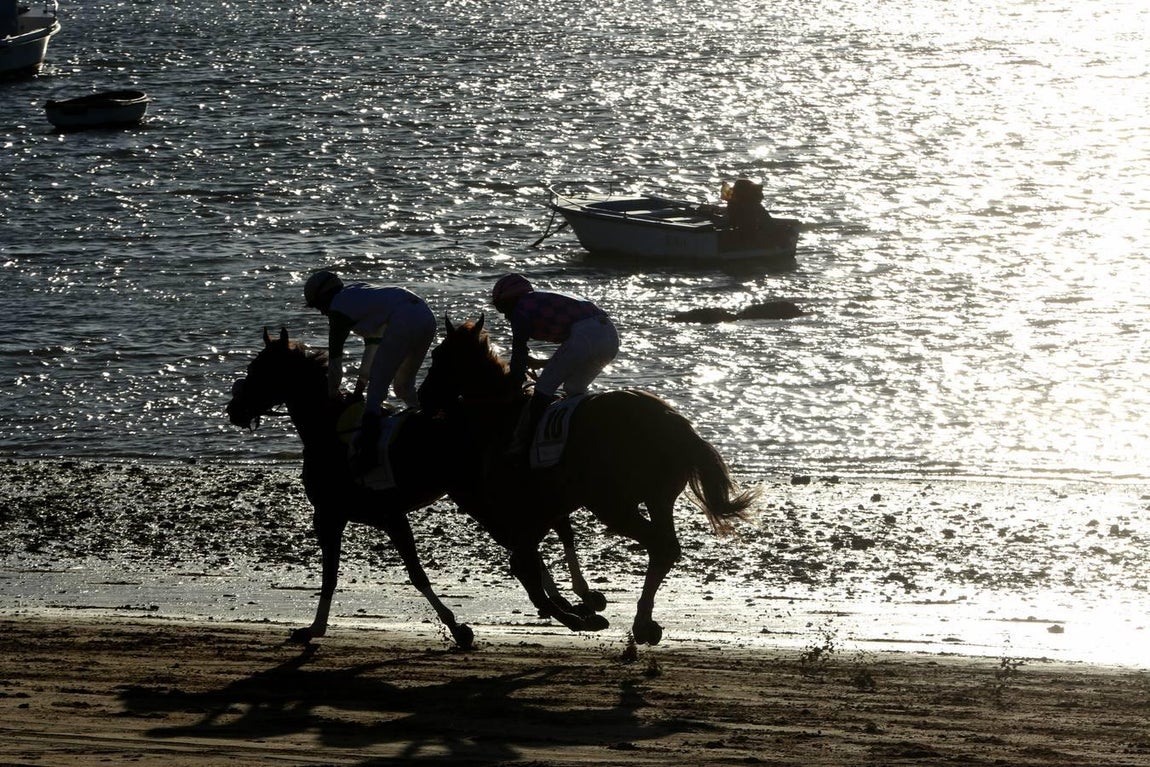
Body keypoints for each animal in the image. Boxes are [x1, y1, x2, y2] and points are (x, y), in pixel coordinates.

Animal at [225, 328, 603, 649]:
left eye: (258, 369)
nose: (234, 409)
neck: (329, 432)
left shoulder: (351, 516)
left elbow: (404, 573)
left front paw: (457, 627)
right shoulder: (352, 516)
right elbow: (340, 574)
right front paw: (314, 628)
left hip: (480, 497)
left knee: (532, 539)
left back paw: (571, 606)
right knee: (534, 537)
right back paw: (575, 604)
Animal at [417, 316, 759, 645]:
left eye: (439, 355)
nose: (422, 396)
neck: (500, 417)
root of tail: (673, 422)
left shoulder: (518, 513)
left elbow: (527, 567)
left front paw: (577, 610)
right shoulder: (544, 510)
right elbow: (546, 552)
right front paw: (584, 603)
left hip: (613, 505)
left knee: (659, 546)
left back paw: (639, 622)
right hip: (657, 499)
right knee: (667, 548)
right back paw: (643, 622)